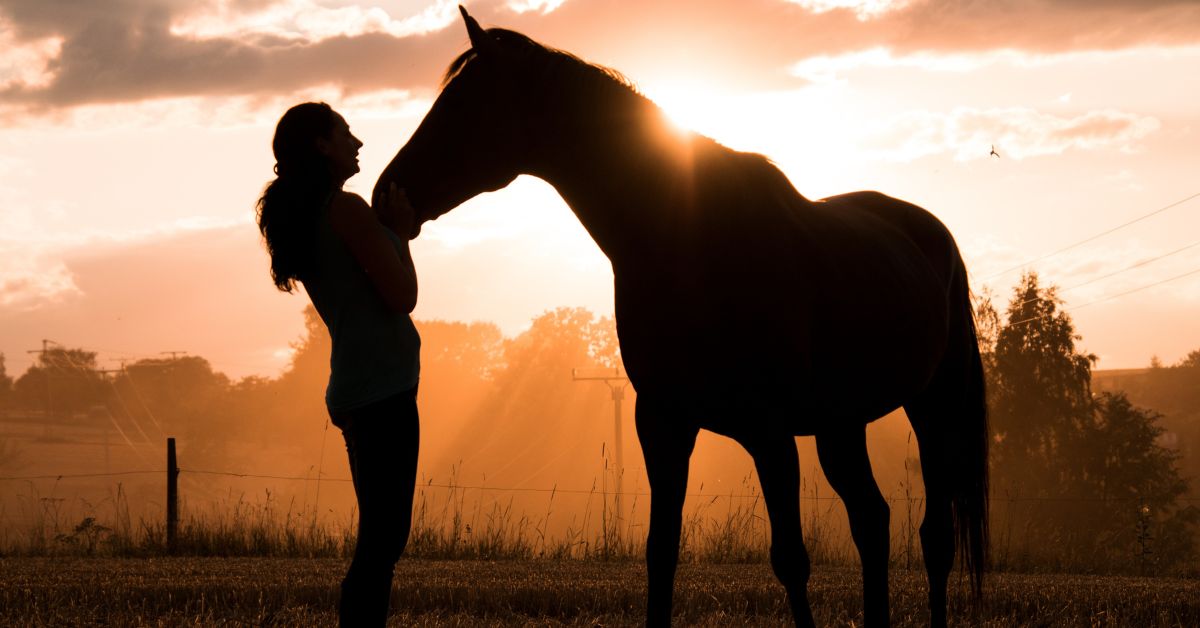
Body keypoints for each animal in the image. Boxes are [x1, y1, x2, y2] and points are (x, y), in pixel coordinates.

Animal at [376, 8, 988, 627]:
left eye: (462, 105)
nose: (384, 194)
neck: (692, 240)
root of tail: (933, 235)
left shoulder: (769, 431)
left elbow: (791, 558)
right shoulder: (663, 422)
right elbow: (661, 552)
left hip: (933, 408)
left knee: (933, 538)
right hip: (841, 424)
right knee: (872, 519)